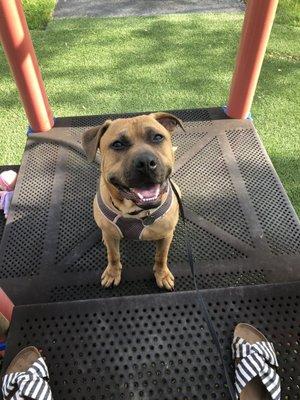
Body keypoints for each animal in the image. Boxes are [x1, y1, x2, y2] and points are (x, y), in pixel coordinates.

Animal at [81, 112, 183, 290]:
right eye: (117, 144)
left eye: (157, 137)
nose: (146, 163)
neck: (135, 212)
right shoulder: (111, 239)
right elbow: (113, 255)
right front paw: (112, 273)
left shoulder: (165, 237)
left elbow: (161, 257)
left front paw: (162, 274)